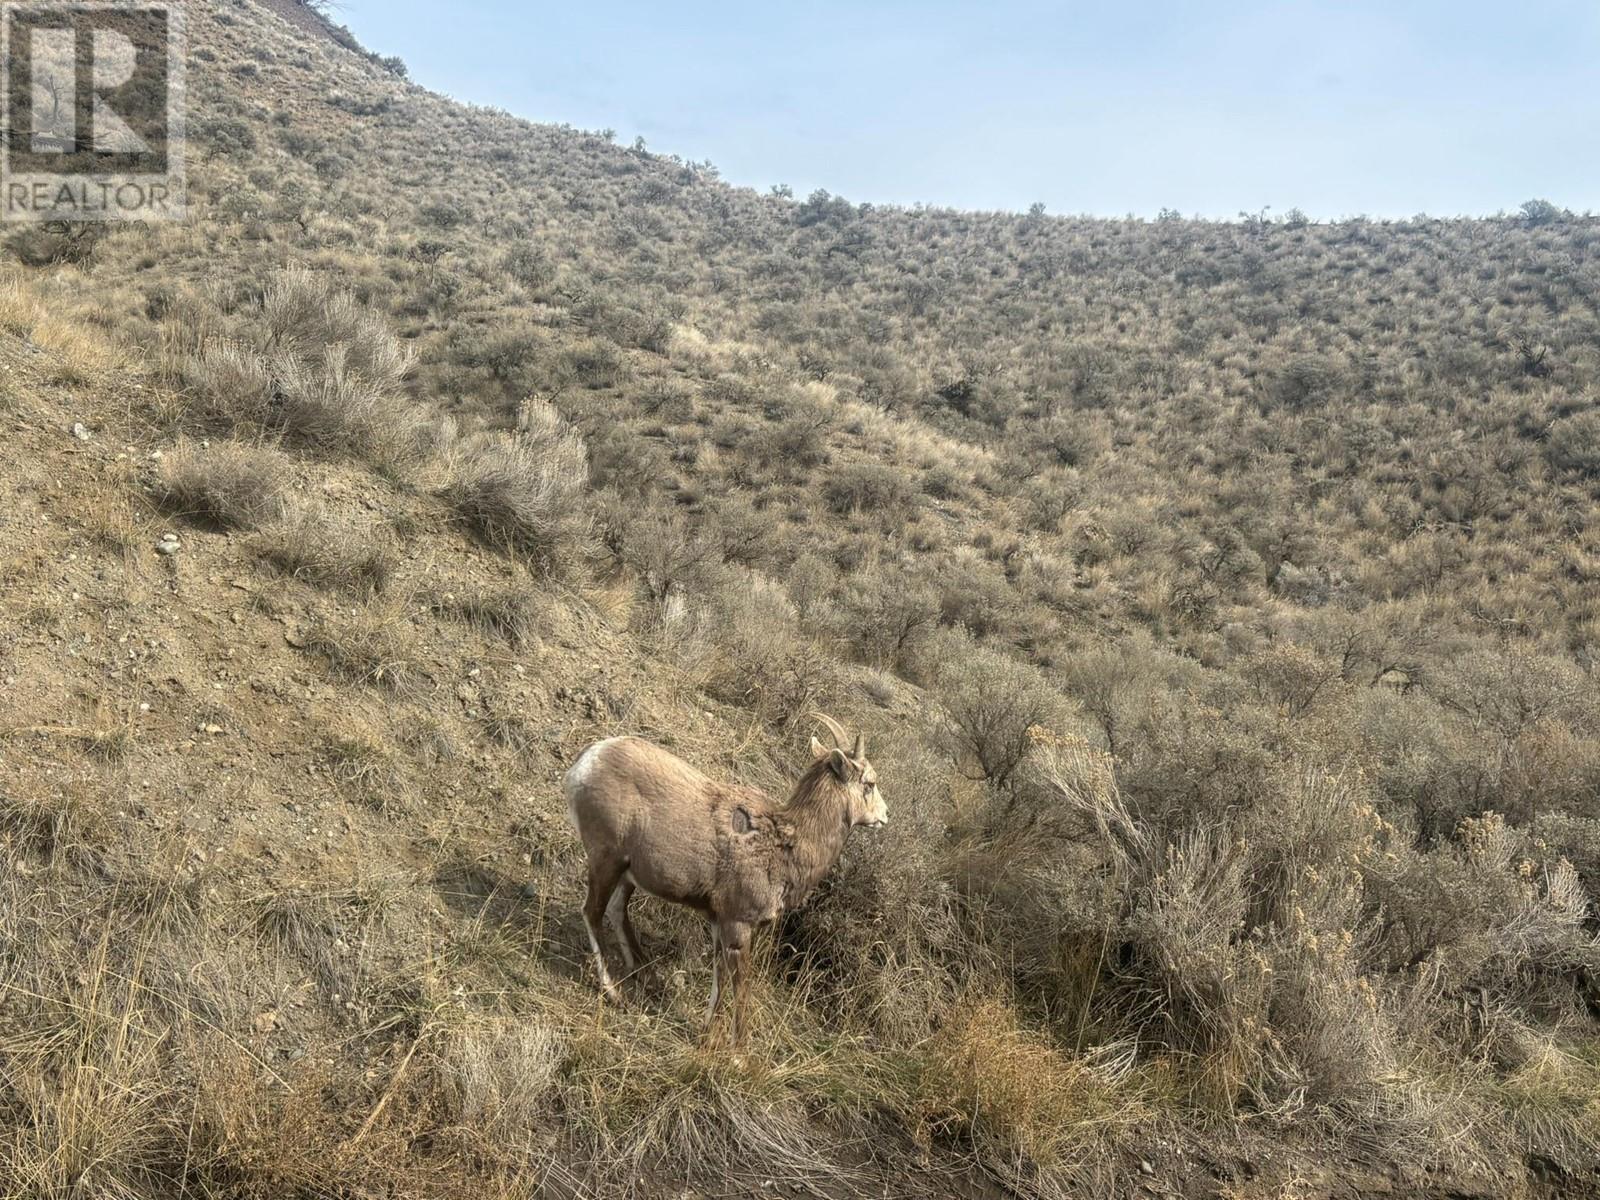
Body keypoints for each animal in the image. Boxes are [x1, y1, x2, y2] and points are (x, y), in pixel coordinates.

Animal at [563, 713, 889, 1043]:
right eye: (870, 783)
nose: (885, 816)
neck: (785, 844)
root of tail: (585, 762)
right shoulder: (738, 924)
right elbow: (740, 987)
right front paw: (738, 1049)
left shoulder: (718, 923)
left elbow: (718, 982)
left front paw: (707, 1036)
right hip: (606, 861)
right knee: (592, 912)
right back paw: (614, 993)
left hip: (627, 875)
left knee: (617, 910)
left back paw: (644, 976)